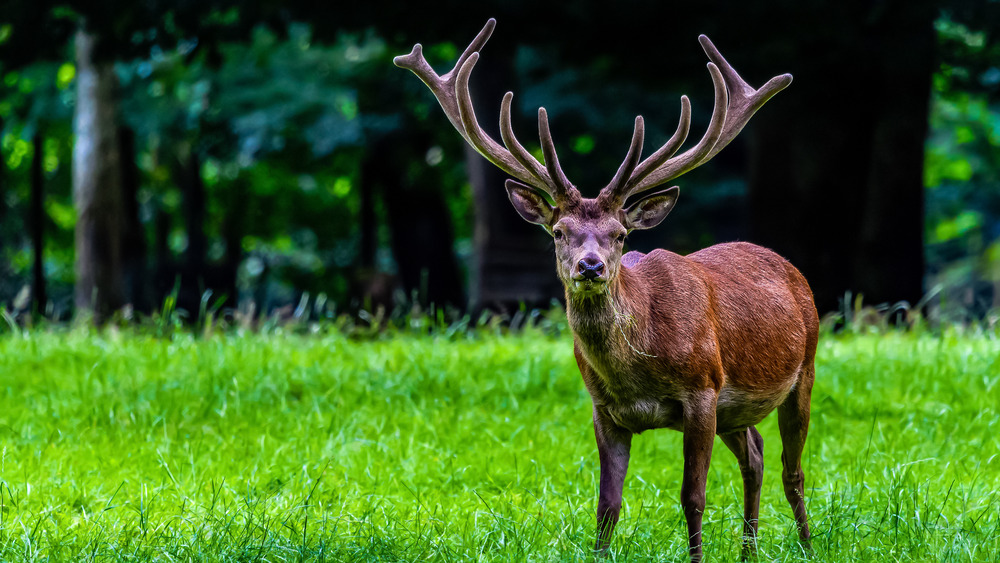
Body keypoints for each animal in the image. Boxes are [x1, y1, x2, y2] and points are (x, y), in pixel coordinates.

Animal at [394, 19, 816, 560]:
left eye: (619, 234)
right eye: (558, 232)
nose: (590, 266)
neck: (639, 367)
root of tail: (791, 269)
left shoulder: (703, 389)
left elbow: (693, 497)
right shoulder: (603, 409)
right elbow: (607, 505)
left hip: (802, 368)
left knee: (792, 469)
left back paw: (806, 544)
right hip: (737, 410)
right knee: (757, 455)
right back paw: (749, 551)